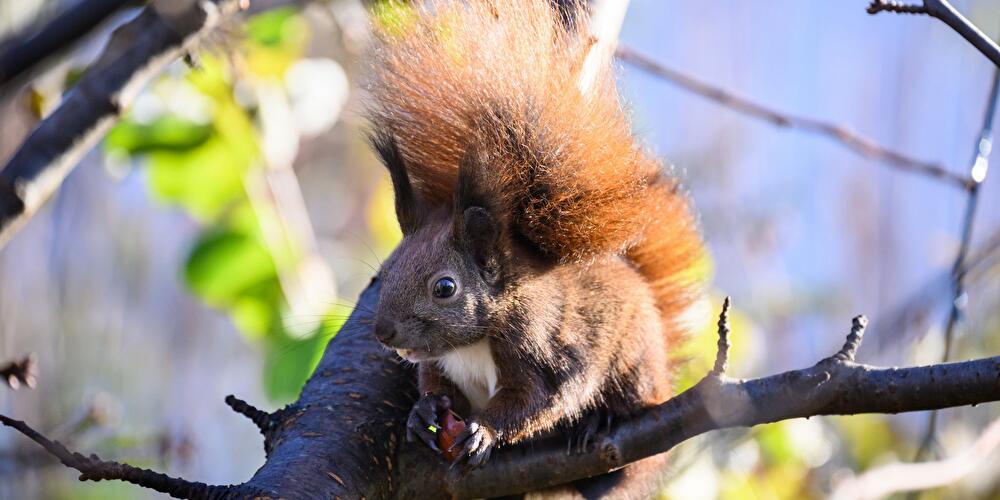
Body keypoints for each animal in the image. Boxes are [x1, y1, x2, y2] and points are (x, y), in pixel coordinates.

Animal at [364, 0, 703, 471]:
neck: (474, 342)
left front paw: (484, 431)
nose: (384, 333)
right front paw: (424, 411)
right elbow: (435, 383)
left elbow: (541, 399)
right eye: (385, 270)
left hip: (634, 364)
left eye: (445, 288)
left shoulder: (544, 349)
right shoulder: (441, 364)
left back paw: (598, 422)